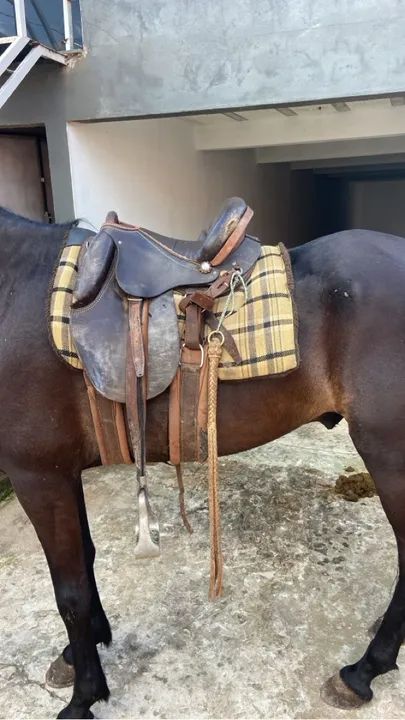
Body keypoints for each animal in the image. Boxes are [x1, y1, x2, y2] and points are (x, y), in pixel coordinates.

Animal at [1, 205, 405, 718]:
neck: (14, 291)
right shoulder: (62, 473)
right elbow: (85, 563)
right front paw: (83, 648)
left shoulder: (37, 477)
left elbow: (68, 592)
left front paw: (84, 695)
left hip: (390, 456)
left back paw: (363, 671)